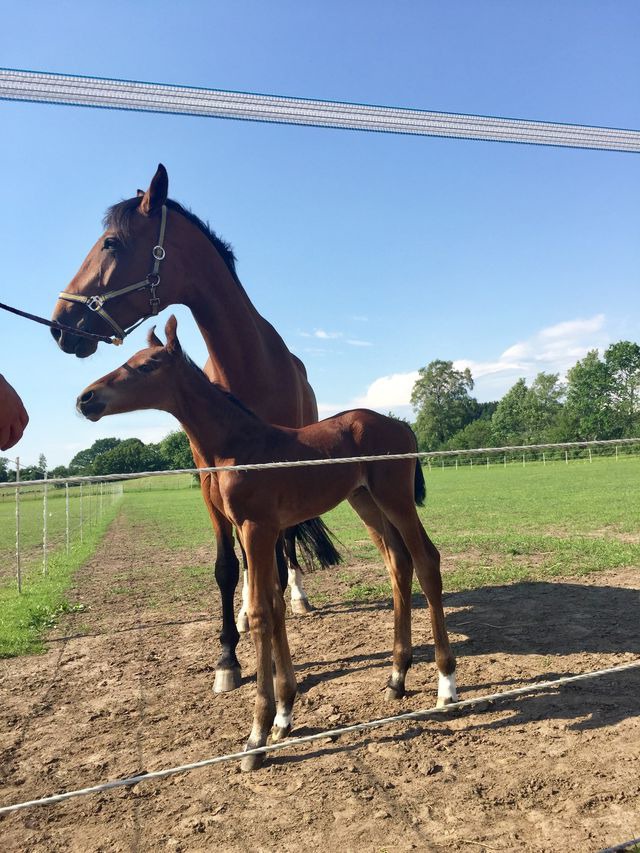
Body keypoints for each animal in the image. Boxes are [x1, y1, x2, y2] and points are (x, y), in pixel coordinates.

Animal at [50, 165, 338, 692]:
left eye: (111, 243)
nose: (61, 324)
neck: (247, 365)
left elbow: (275, 552)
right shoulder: (210, 481)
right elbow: (226, 566)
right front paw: (228, 656)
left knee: (285, 545)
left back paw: (295, 594)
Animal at [77, 320, 458, 772]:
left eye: (147, 365)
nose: (86, 398)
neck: (238, 446)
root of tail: (401, 425)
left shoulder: (257, 528)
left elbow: (260, 612)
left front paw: (256, 737)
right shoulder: (257, 531)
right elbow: (274, 607)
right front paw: (283, 716)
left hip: (394, 497)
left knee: (426, 560)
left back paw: (446, 685)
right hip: (365, 501)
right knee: (399, 564)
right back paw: (397, 678)